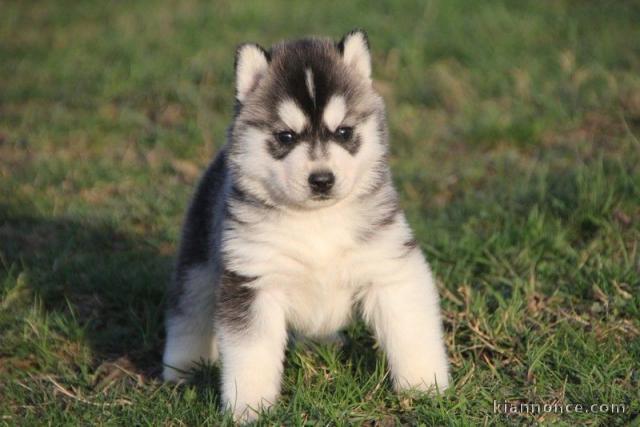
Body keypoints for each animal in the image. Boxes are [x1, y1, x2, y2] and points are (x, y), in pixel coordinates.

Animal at [161, 29, 450, 422]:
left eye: (343, 132)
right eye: (286, 137)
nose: (322, 180)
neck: (316, 221)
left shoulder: (390, 268)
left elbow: (411, 331)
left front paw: (425, 387)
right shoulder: (252, 282)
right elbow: (251, 356)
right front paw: (249, 410)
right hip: (199, 261)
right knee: (188, 311)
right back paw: (182, 366)